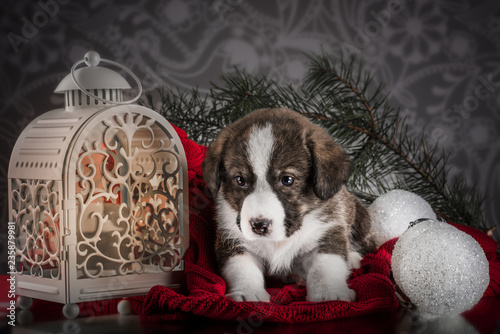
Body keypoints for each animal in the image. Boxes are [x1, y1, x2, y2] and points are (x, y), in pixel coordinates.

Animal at [201, 107, 374, 302]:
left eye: (287, 180)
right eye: (240, 180)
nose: (259, 226)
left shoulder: (328, 231)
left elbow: (325, 265)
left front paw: (329, 292)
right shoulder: (232, 240)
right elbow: (242, 268)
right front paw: (248, 292)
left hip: (361, 219)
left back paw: (352, 258)